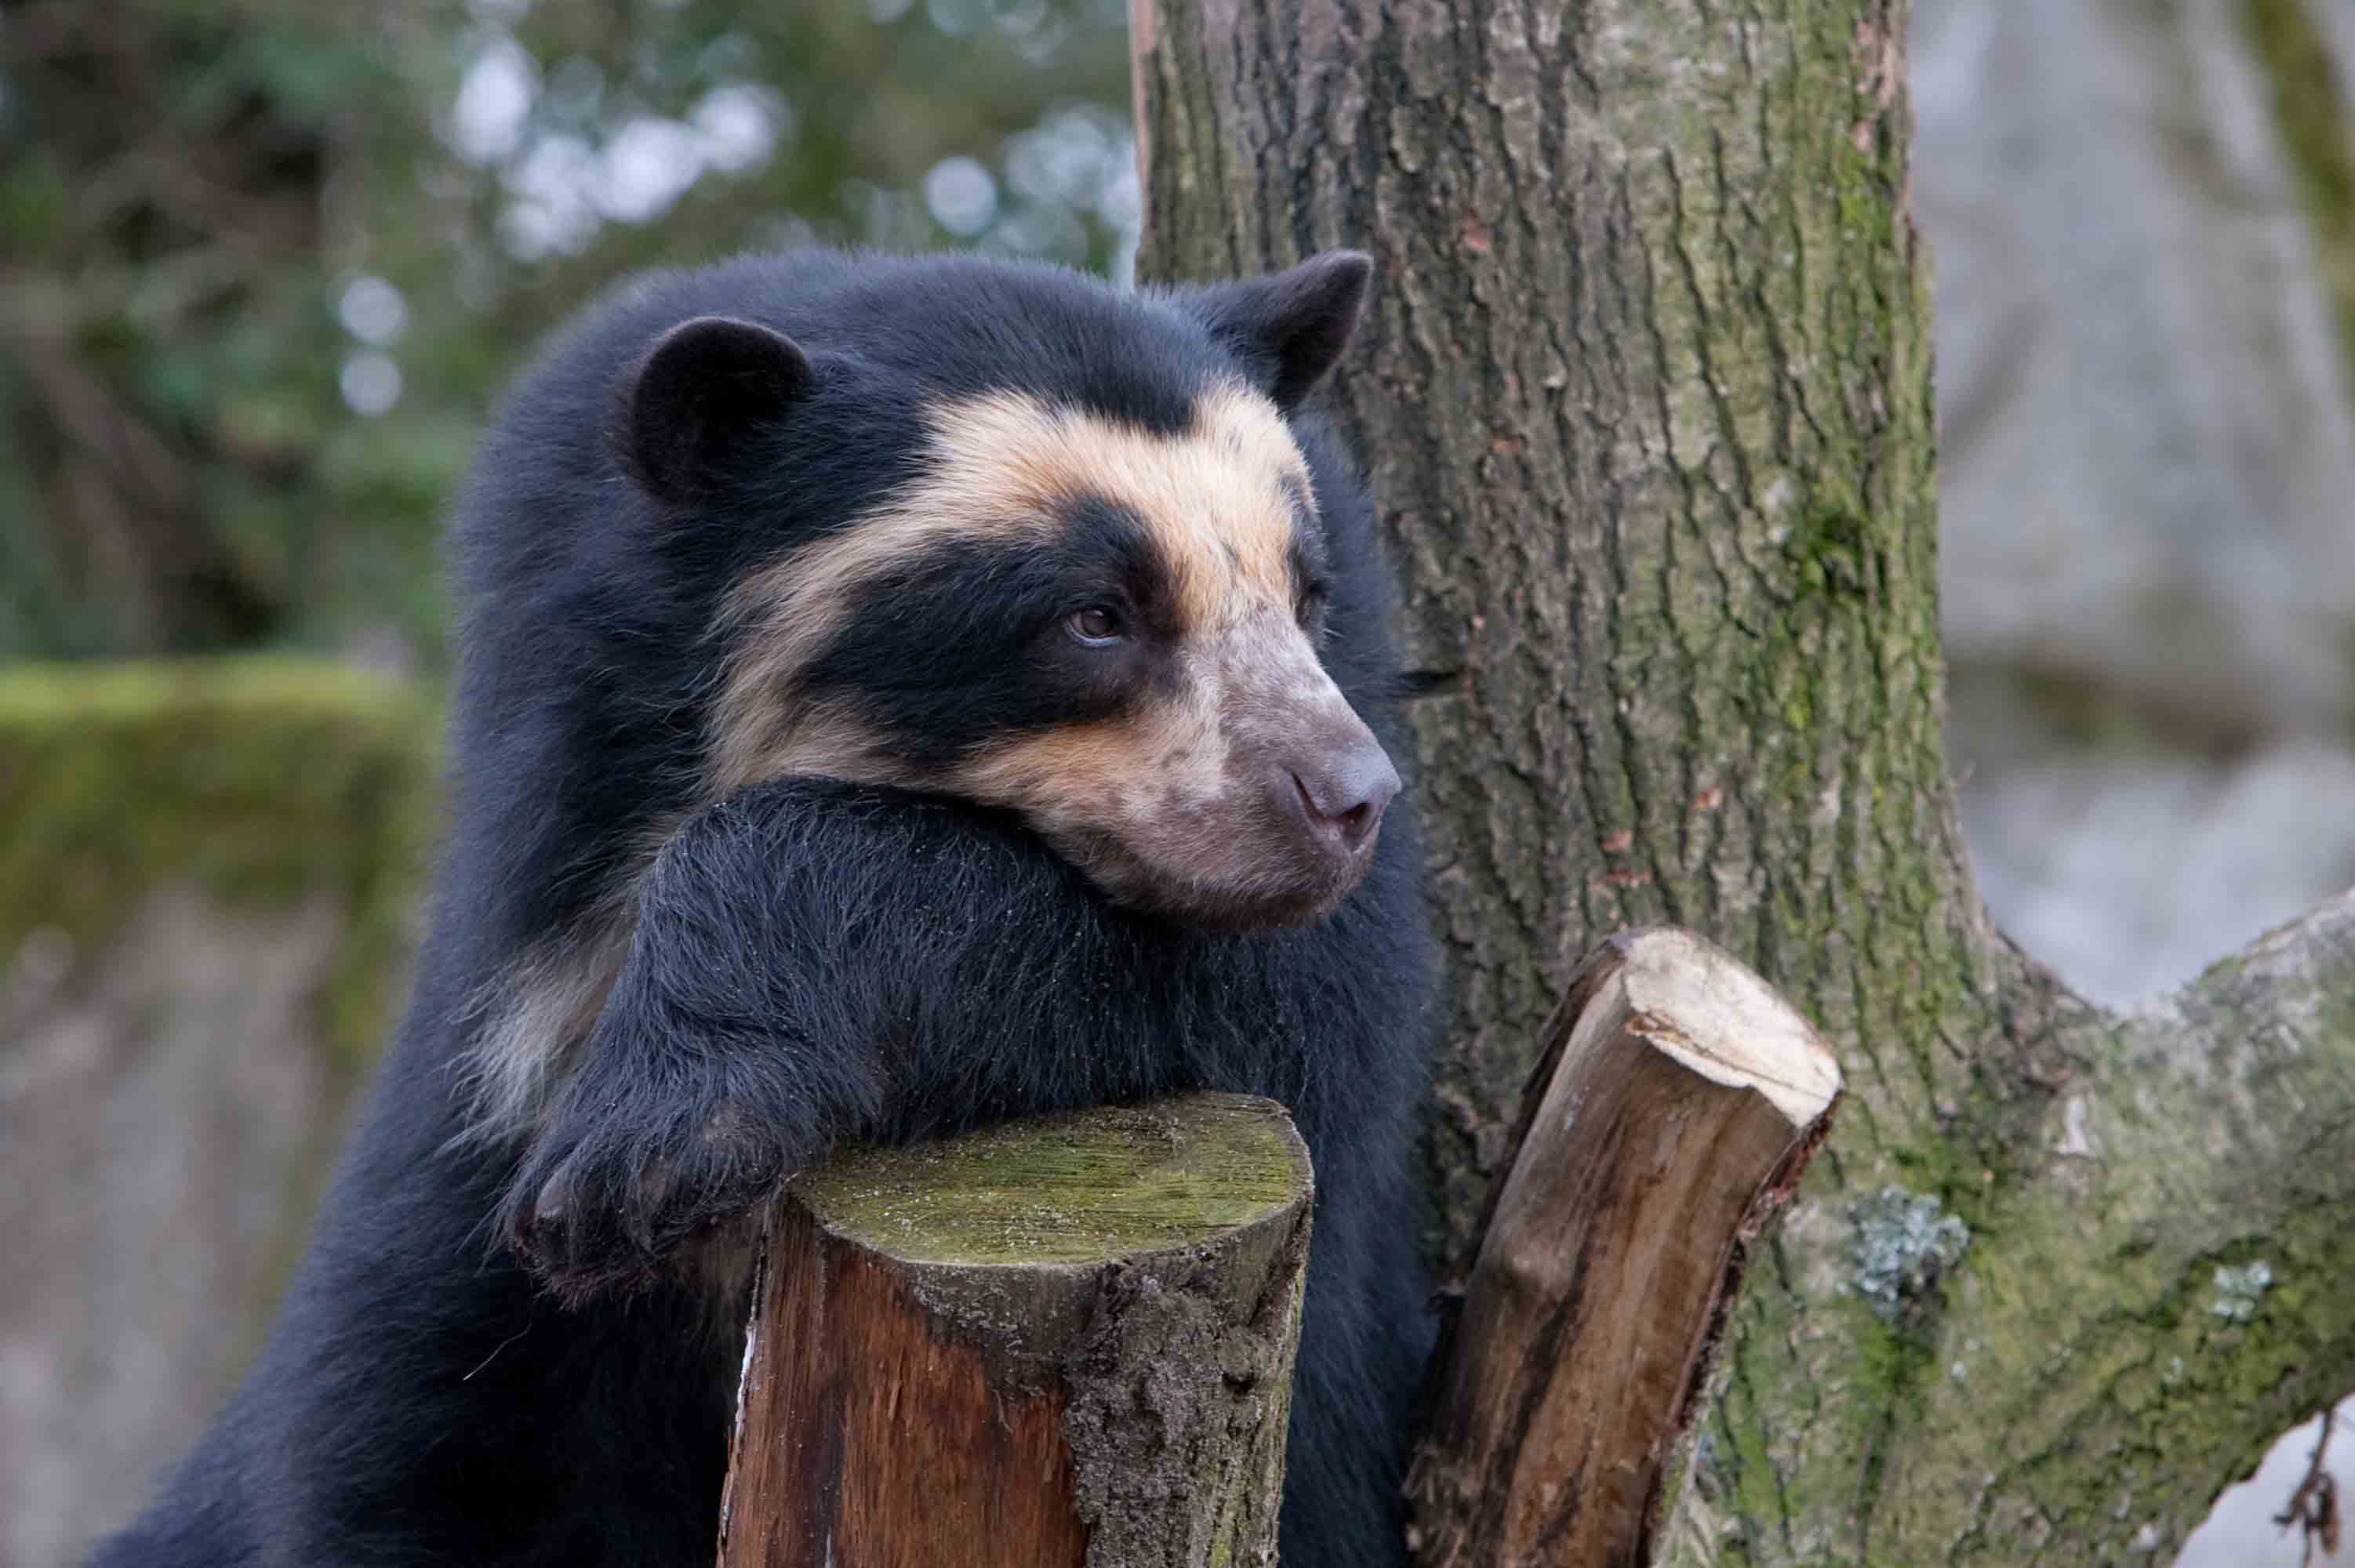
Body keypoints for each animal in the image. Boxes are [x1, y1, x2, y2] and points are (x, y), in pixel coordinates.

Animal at [91, 247, 1439, 1568]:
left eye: (1306, 596)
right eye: (1095, 615)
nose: (1348, 798)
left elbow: (1283, 1007)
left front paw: (642, 1147)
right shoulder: (484, 1088)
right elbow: (416, 1442)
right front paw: (617, 1189)